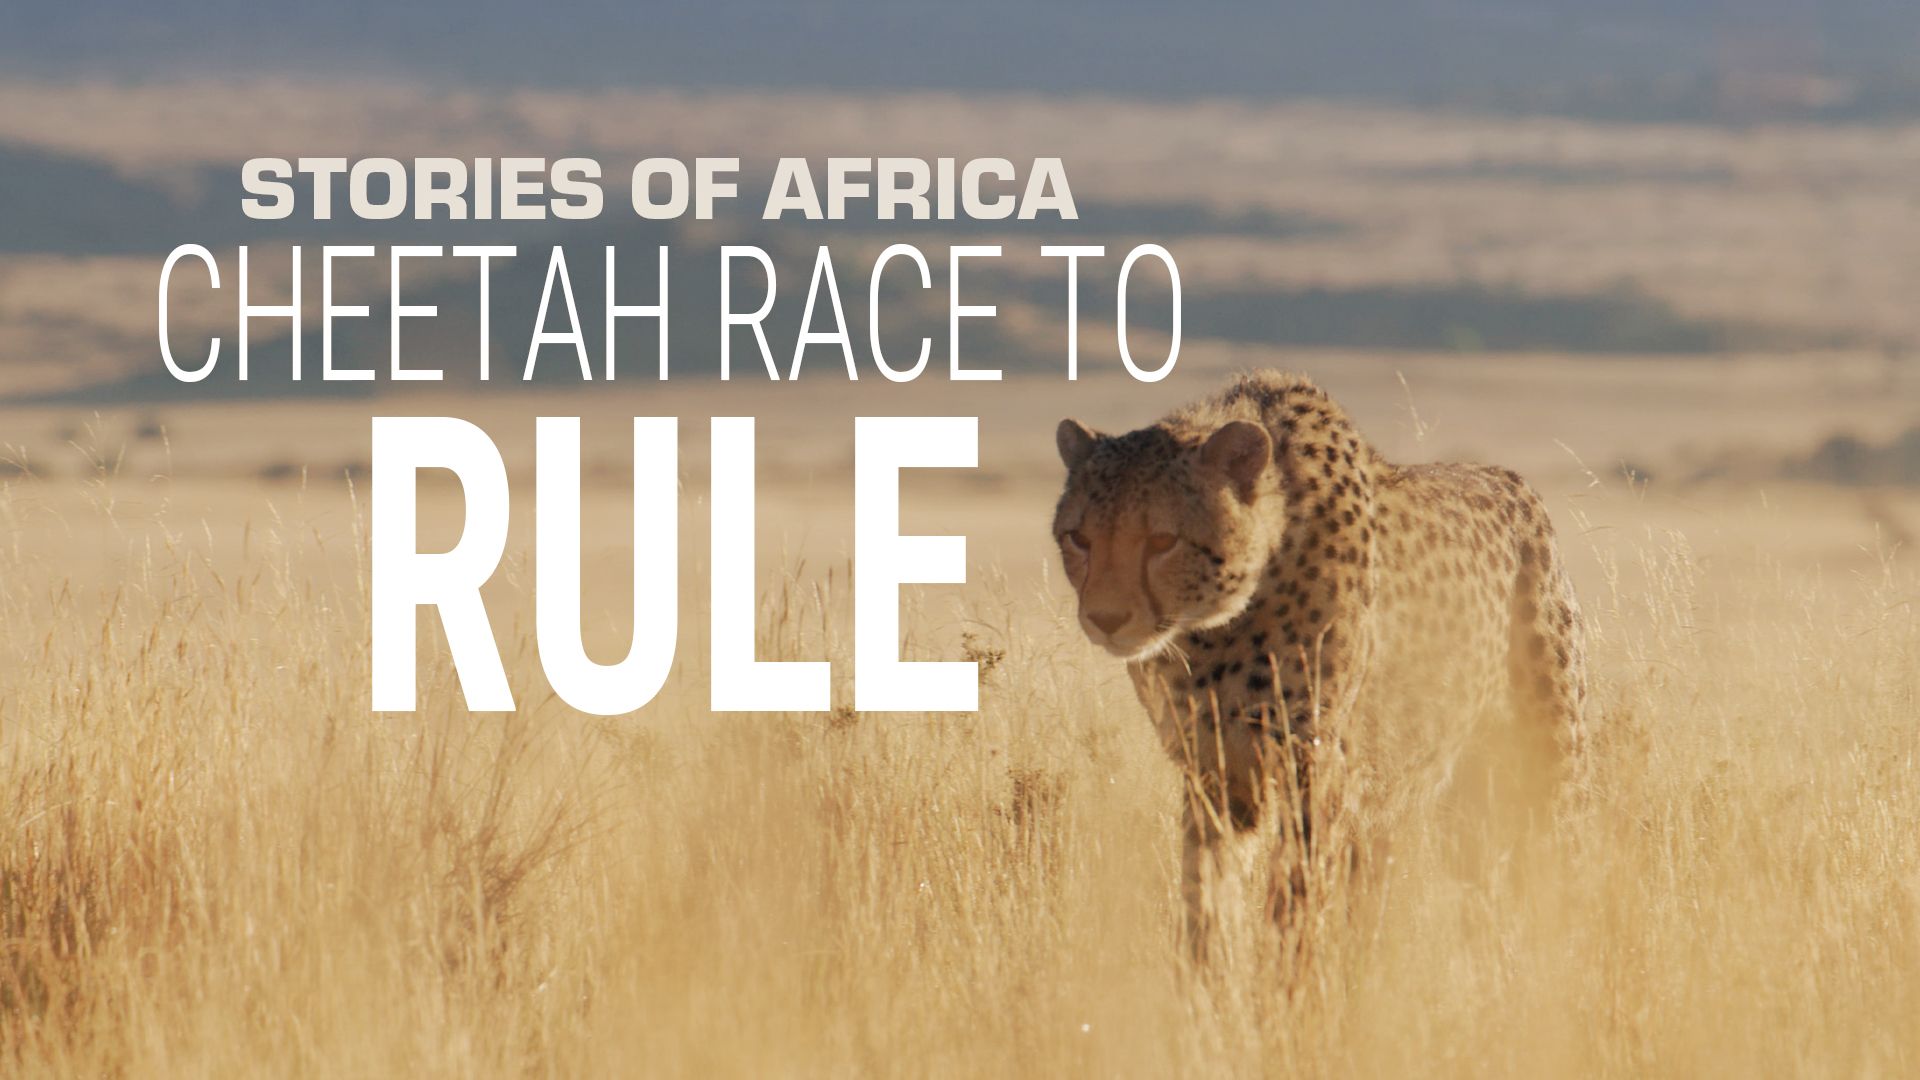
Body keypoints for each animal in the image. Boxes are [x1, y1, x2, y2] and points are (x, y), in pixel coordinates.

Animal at [1052, 370, 1587, 961]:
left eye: (1163, 540)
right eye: (1079, 538)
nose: (1105, 618)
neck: (1220, 627)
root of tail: (1511, 479)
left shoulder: (1314, 763)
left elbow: (1294, 894)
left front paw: (1284, 975)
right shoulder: (1215, 771)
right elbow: (1206, 887)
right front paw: (1209, 972)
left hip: (1544, 770)